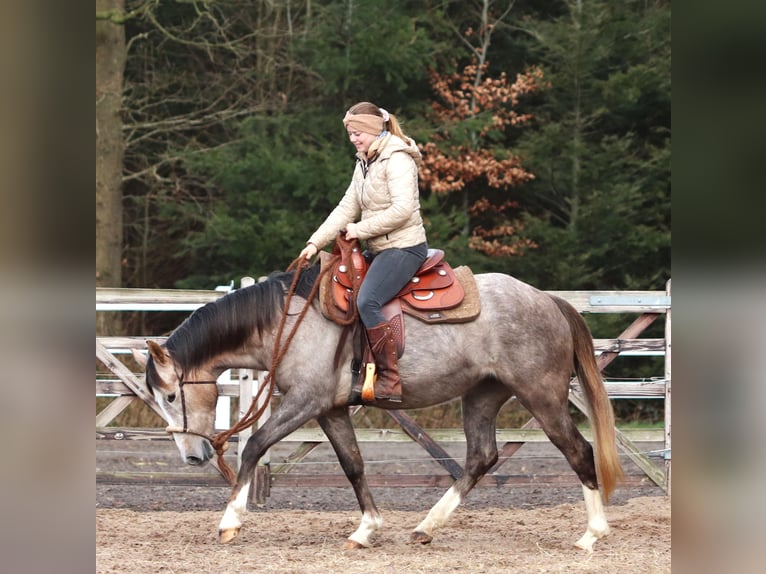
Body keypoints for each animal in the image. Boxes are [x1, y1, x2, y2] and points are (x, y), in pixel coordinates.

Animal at [132, 266, 624, 552]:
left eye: (171, 396)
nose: (192, 456)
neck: (287, 322)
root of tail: (547, 300)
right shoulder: (329, 410)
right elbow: (353, 464)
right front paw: (366, 528)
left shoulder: (305, 401)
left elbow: (254, 446)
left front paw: (229, 521)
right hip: (482, 397)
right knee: (481, 457)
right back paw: (426, 526)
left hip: (541, 395)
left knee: (579, 451)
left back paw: (591, 535)